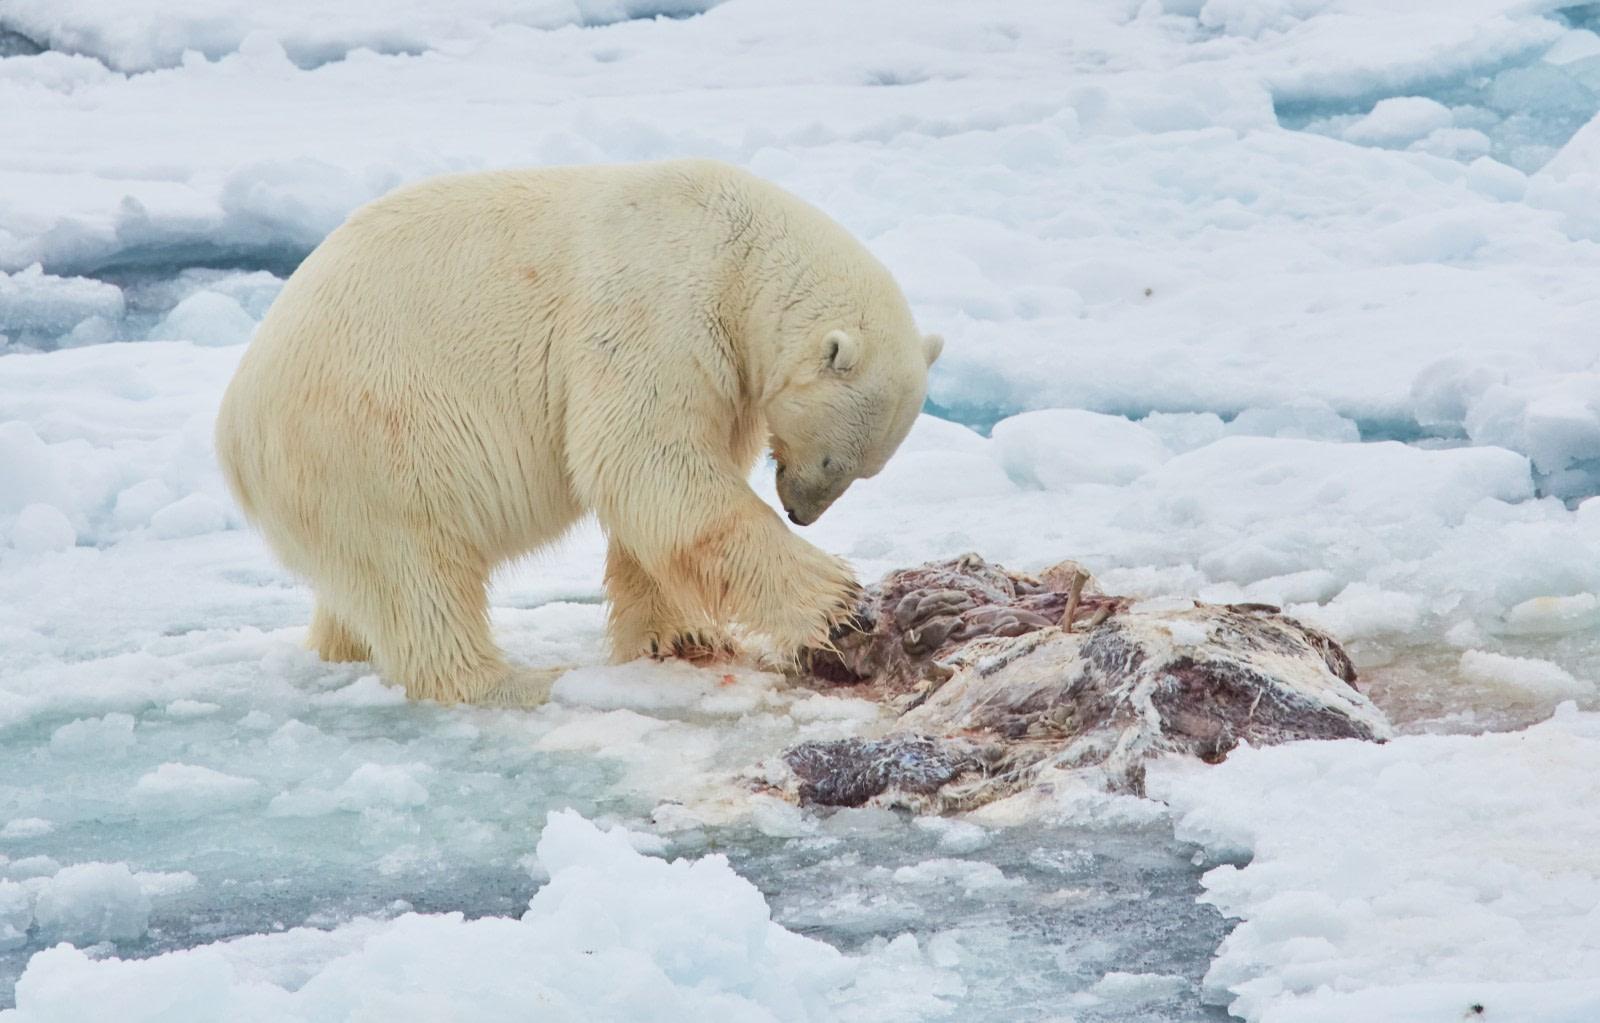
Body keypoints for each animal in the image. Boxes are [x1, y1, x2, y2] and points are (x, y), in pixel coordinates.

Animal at [212, 160, 934, 707]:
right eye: (837, 460)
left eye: (864, 469)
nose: (800, 511)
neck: (738, 249)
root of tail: (235, 431)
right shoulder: (660, 310)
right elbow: (649, 463)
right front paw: (838, 603)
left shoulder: (726, 371)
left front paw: (682, 638)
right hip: (371, 433)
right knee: (416, 572)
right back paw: (512, 681)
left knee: (359, 586)